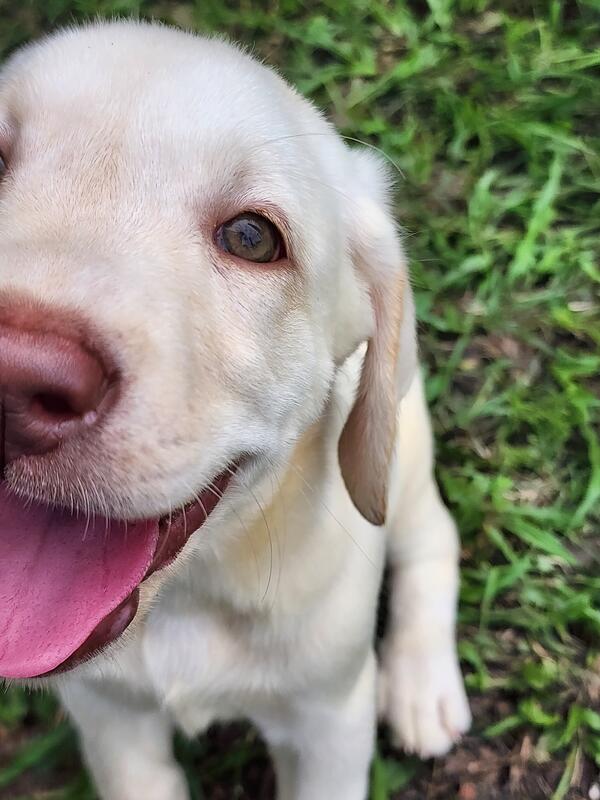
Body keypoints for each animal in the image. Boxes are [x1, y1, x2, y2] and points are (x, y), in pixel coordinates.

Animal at [0, 21, 471, 799]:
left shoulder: (330, 721)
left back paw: (422, 687)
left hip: (398, 463)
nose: (11, 377)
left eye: (253, 238)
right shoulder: (108, 716)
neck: (186, 601)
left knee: (435, 537)